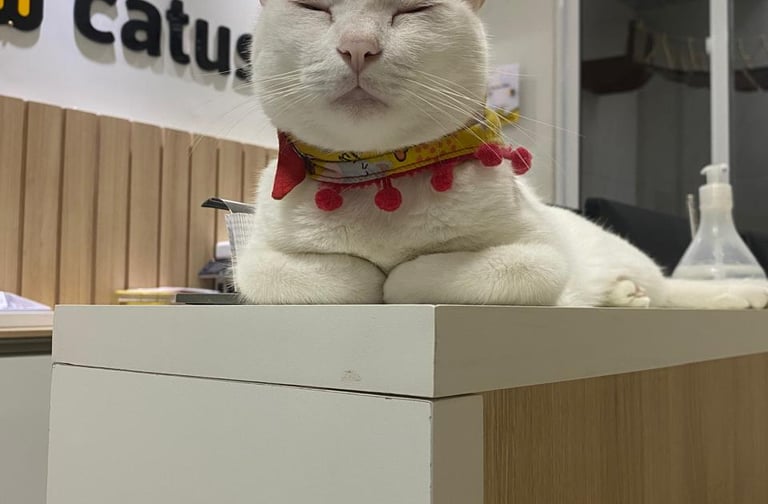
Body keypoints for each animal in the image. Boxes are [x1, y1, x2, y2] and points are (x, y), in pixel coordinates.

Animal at [235, 0, 768, 309]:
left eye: (413, 8)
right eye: (314, 6)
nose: (358, 47)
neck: (376, 173)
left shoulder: (536, 255)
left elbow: (417, 275)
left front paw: (394, 279)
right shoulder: (257, 262)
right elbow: (331, 277)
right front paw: (371, 276)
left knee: (672, 290)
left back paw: (728, 296)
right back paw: (627, 296)